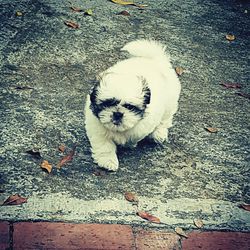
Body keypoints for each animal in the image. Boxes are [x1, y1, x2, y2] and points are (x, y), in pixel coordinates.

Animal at [85, 39, 181, 172]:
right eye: (108, 103)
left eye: (130, 107)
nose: (118, 114)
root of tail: (155, 61)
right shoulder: (97, 128)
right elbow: (104, 145)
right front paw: (108, 161)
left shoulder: (142, 127)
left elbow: (132, 137)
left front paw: (129, 144)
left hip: (170, 102)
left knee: (165, 119)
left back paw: (158, 134)